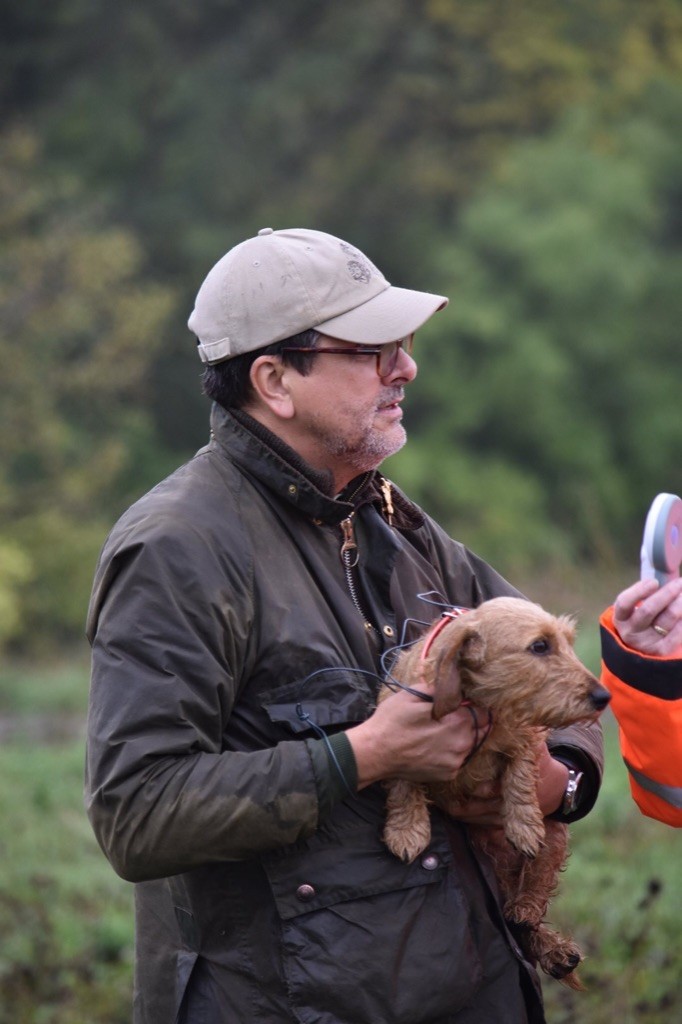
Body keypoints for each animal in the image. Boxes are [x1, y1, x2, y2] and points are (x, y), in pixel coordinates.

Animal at [378, 598, 606, 987]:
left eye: (568, 643)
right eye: (540, 646)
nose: (603, 696)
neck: (480, 704)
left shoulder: (525, 736)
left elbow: (521, 774)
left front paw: (524, 825)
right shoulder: (395, 720)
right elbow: (402, 778)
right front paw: (406, 830)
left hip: (556, 836)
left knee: (535, 888)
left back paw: (539, 928)